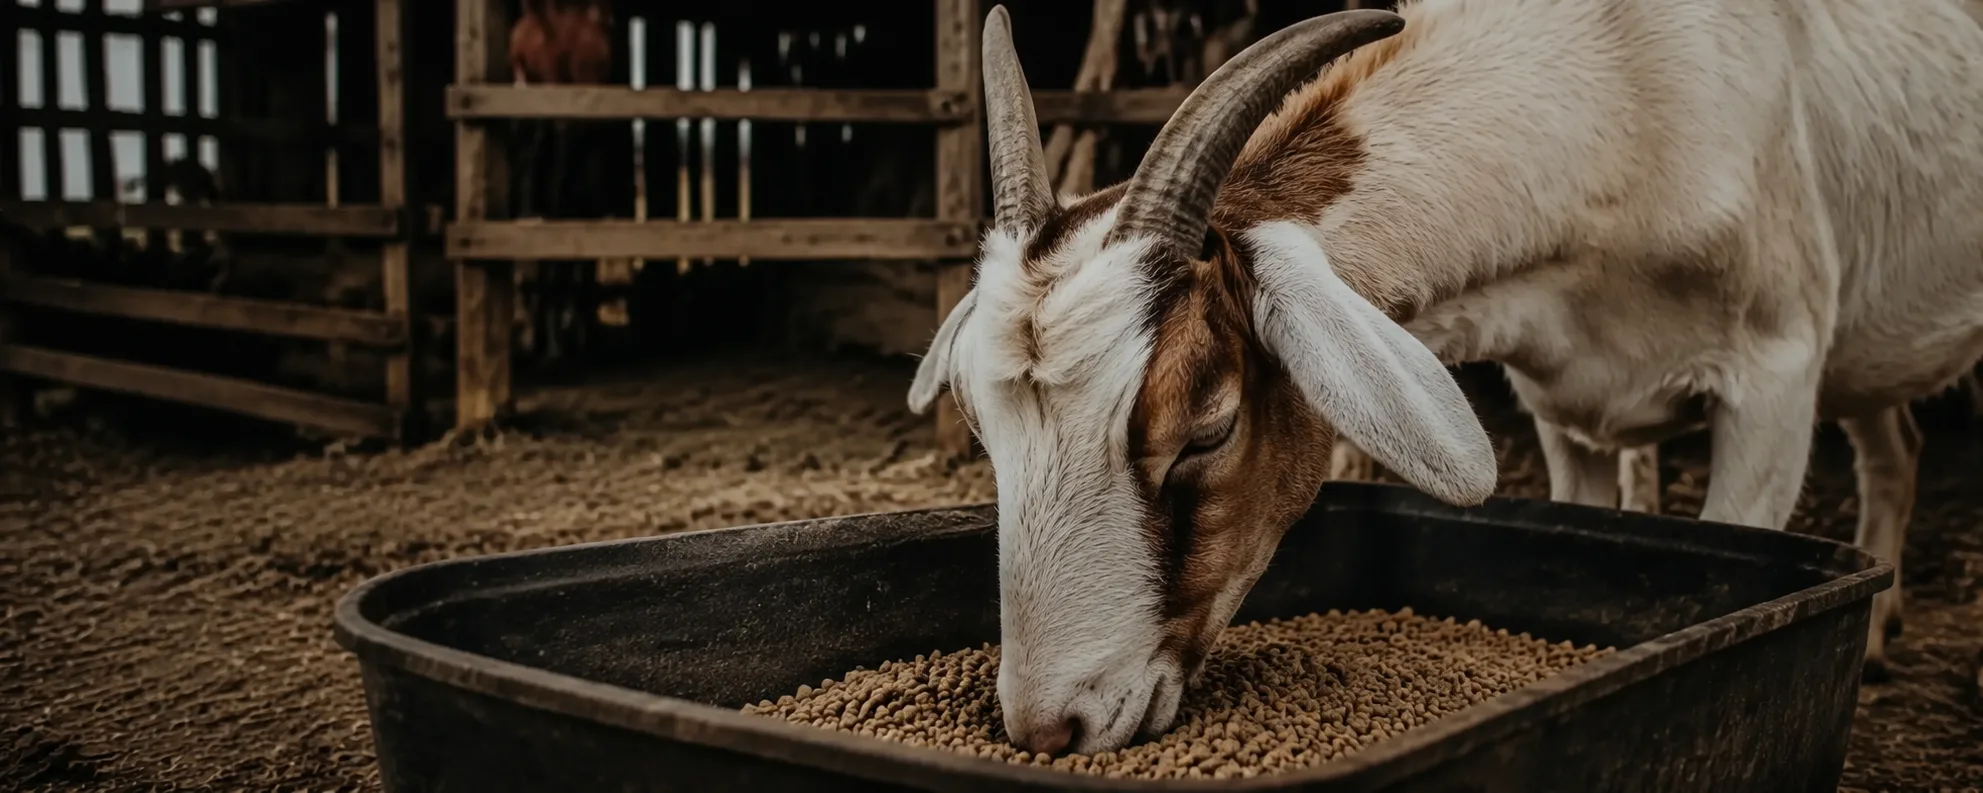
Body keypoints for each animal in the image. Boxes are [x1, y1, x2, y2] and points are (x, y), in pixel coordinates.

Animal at [908, 0, 1983, 755]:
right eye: (985, 430)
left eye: (1207, 425)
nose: (1049, 727)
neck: (1629, 88)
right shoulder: (1562, 408)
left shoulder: (1773, 379)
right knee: (1897, 445)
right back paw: (1879, 637)